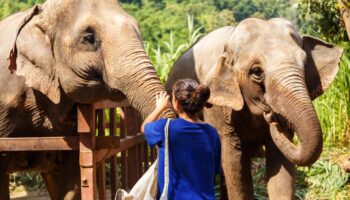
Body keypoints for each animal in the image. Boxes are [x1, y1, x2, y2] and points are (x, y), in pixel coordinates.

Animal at [165, 18, 344, 199]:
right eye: (257, 71)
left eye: (306, 64)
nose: (273, 117)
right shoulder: (217, 109)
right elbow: (233, 162)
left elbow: (281, 164)